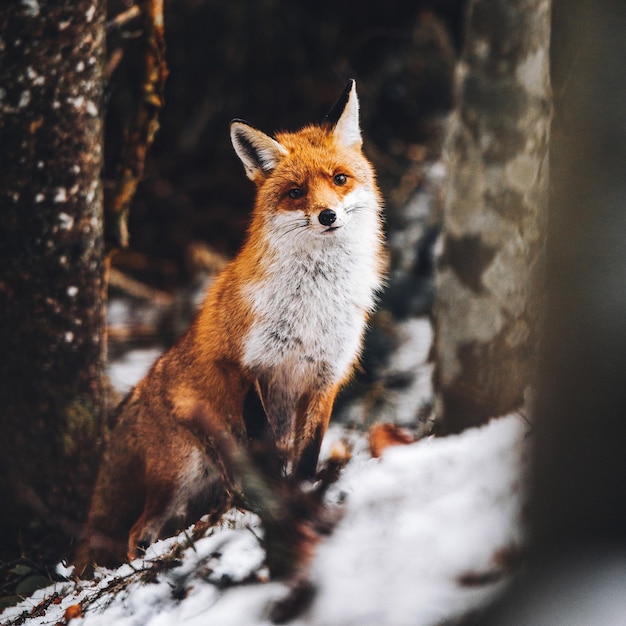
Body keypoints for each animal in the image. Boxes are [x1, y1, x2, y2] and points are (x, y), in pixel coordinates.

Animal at [73, 80, 386, 568]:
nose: (328, 216)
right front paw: (280, 505)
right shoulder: (245, 366)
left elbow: (306, 455)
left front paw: (302, 496)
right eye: (295, 192)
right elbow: (265, 447)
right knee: (136, 532)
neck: (312, 305)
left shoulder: (325, 377)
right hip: (182, 475)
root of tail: (135, 396)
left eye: (339, 179)